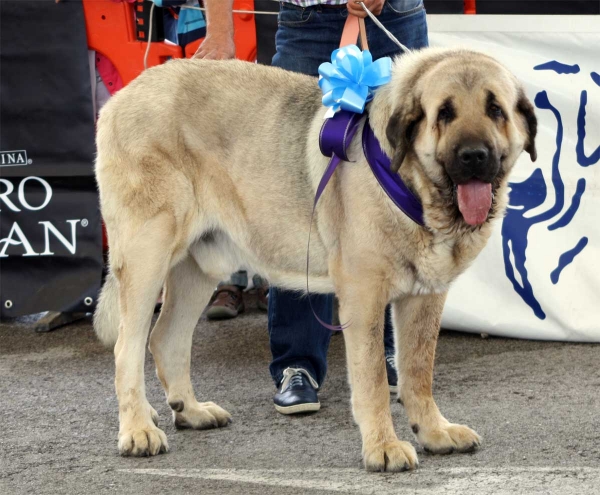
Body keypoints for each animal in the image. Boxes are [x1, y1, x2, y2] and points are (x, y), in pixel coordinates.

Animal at [95, 48, 540, 474]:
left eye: (496, 110)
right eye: (444, 113)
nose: (474, 156)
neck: (412, 184)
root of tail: (123, 96)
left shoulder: (424, 298)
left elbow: (417, 371)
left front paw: (434, 431)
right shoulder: (363, 299)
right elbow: (374, 379)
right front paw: (383, 447)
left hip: (200, 267)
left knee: (165, 338)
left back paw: (190, 411)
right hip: (148, 254)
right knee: (127, 348)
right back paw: (138, 429)